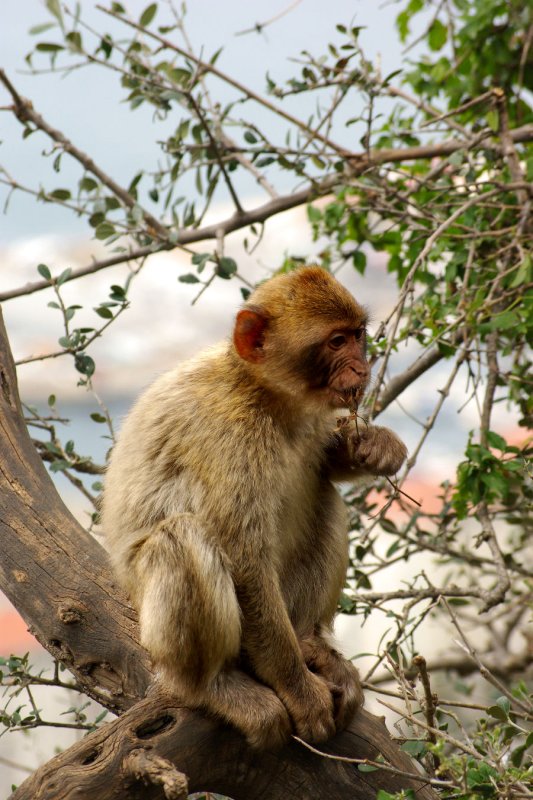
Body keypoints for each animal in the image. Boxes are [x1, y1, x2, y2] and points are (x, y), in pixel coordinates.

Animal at [102, 266, 406, 748]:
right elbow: (245, 561)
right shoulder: (228, 437)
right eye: (336, 342)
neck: (264, 392)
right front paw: (301, 692)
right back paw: (214, 685)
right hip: (163, 641)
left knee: (323, 493)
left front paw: (378, 445)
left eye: (358, 335)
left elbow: (327, 463)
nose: (363, 366)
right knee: (180, 536)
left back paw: (311, 642)